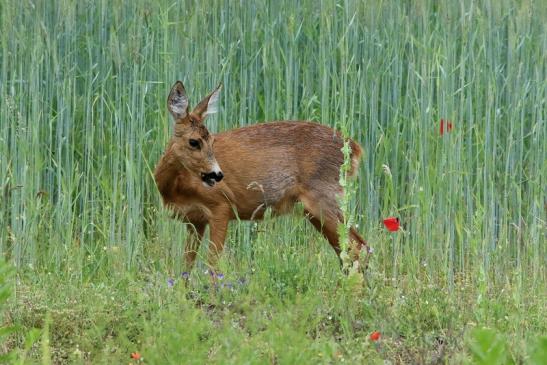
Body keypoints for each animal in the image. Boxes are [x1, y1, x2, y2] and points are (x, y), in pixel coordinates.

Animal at [152, 81, 370, 274]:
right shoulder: (194, 220)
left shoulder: (221, 206)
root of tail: (355, 148)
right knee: (347, 251)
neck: (175, 187)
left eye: (212, 141)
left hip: (324, 197)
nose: (217, 174)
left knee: (358, 247)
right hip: (314, 210)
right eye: (194, 141)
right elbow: (186, 267)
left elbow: (212, 265)